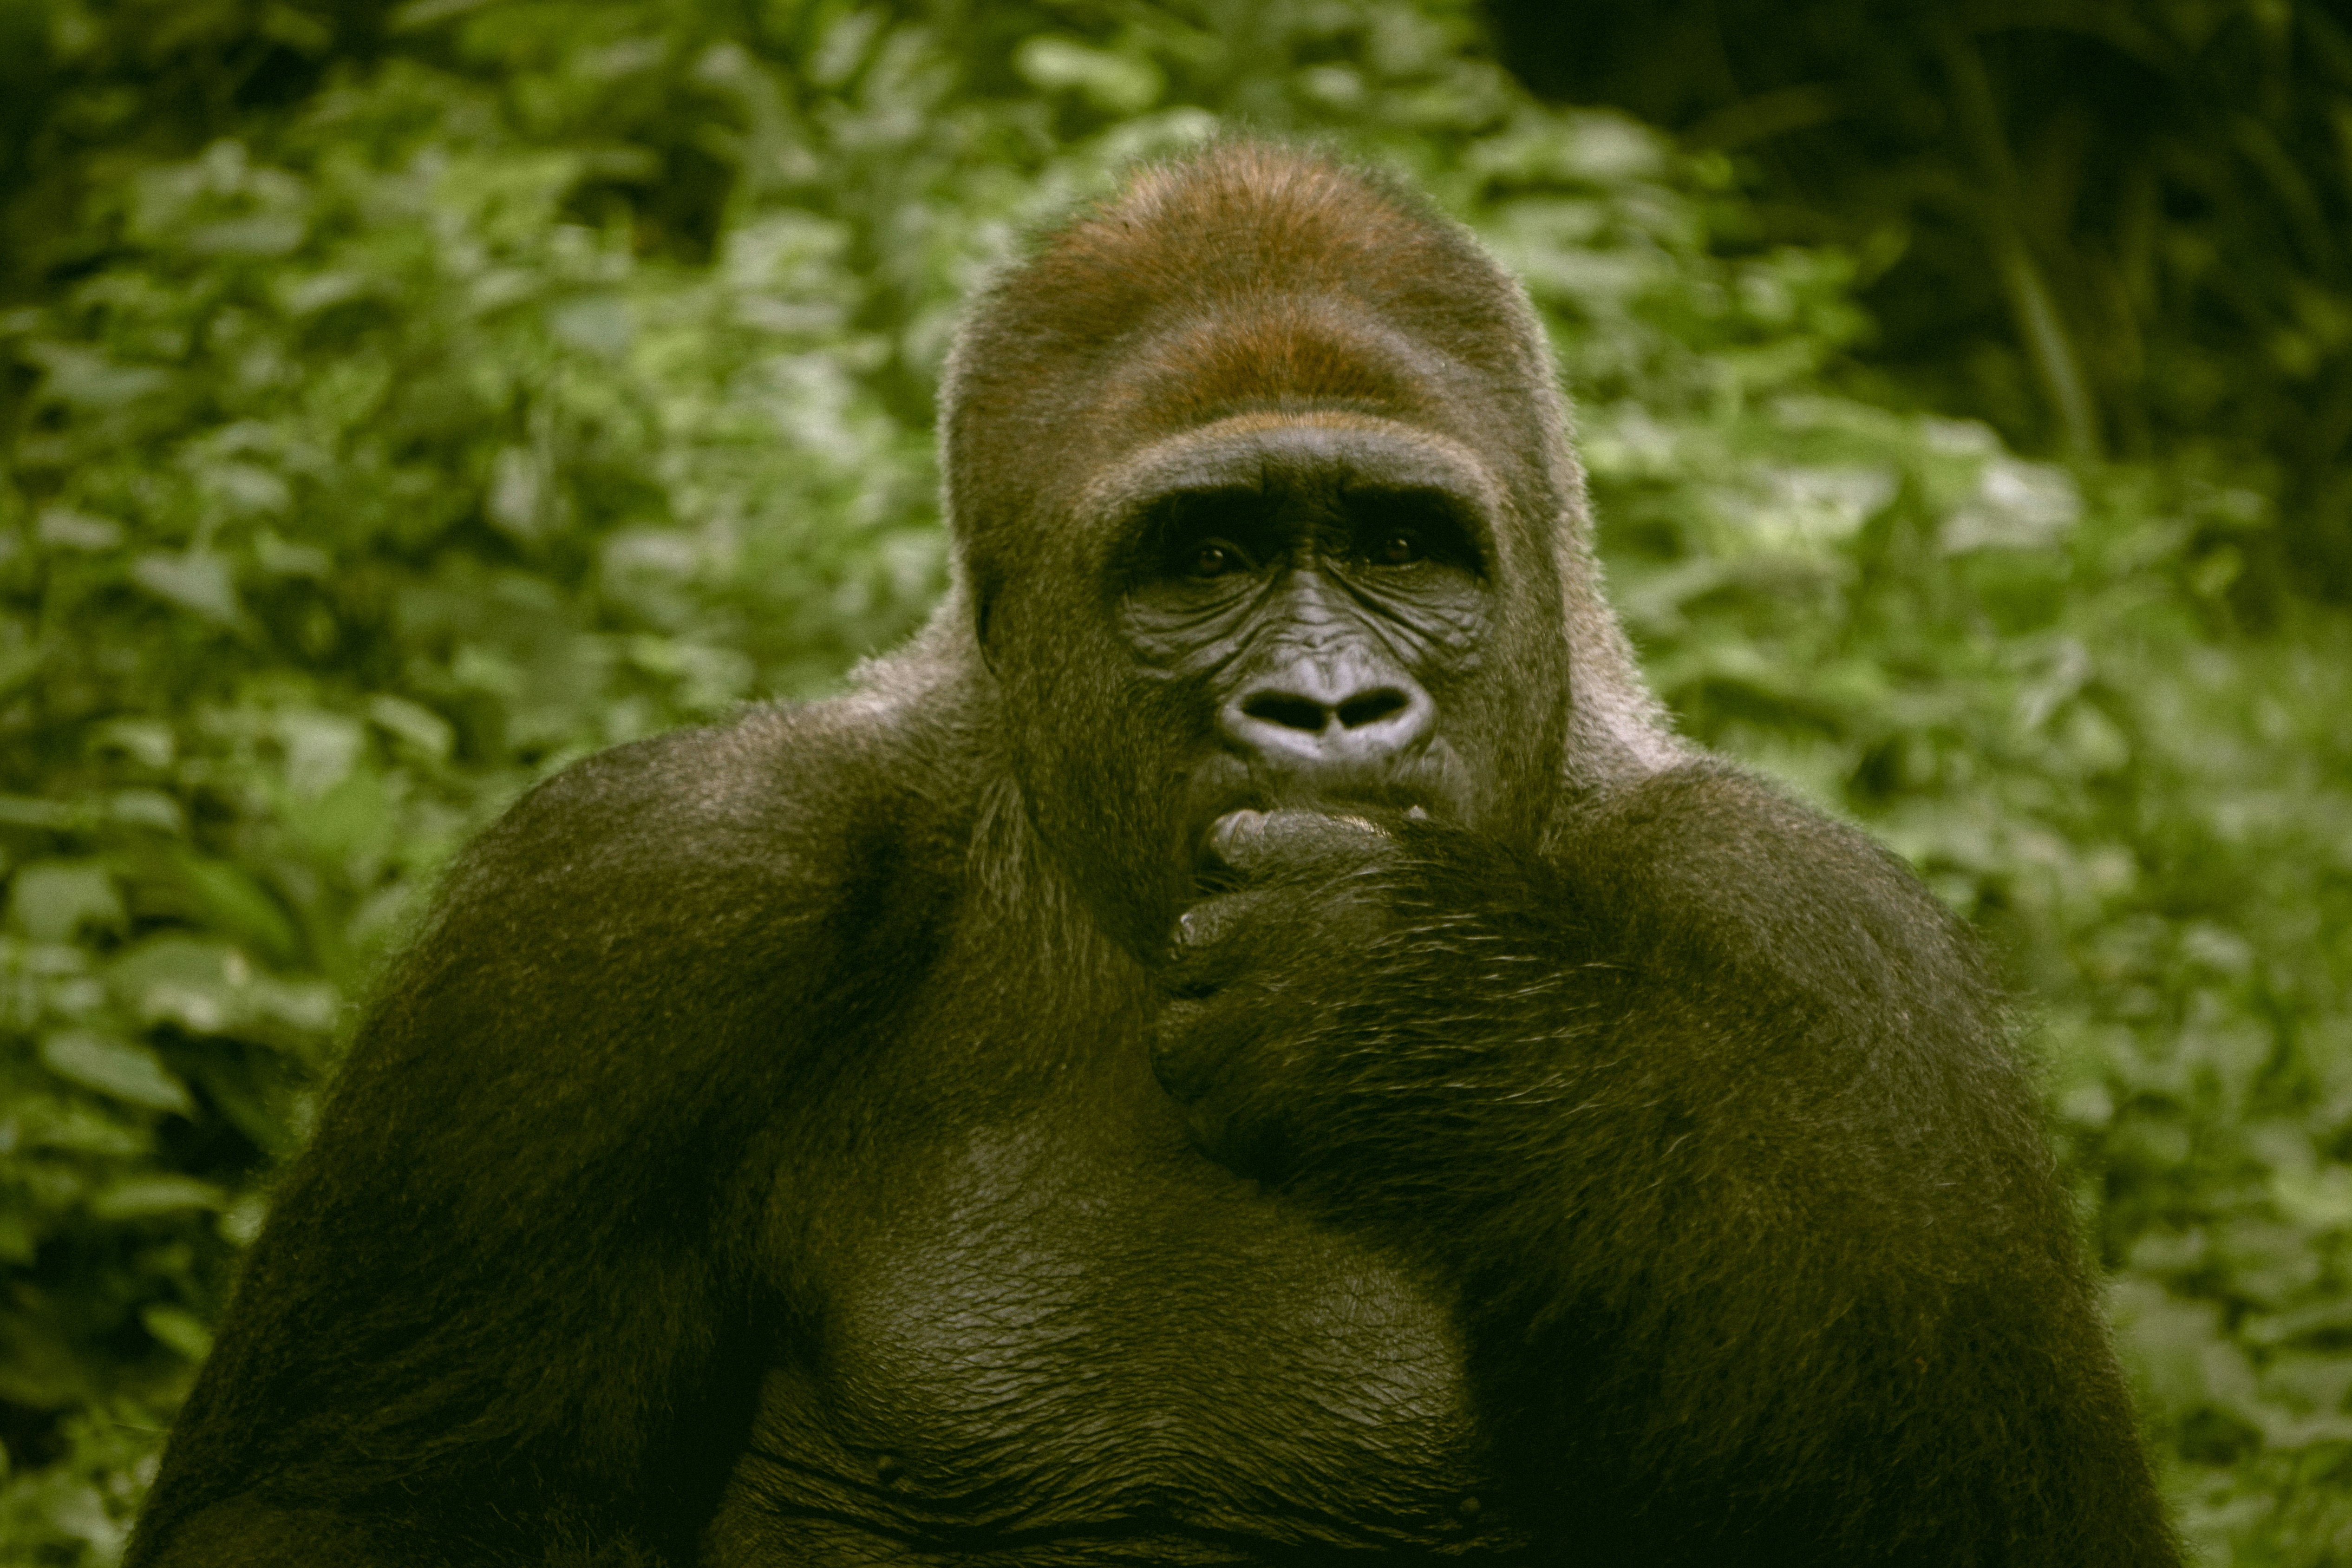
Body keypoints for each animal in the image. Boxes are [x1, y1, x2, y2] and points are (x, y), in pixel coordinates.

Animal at [133, 144, 2182, 1568]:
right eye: (1204, 557)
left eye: (1402, 545)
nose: (1329, 709)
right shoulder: (629, 909)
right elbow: (345, 1506)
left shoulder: (1823, 951)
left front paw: (1442, 1032)